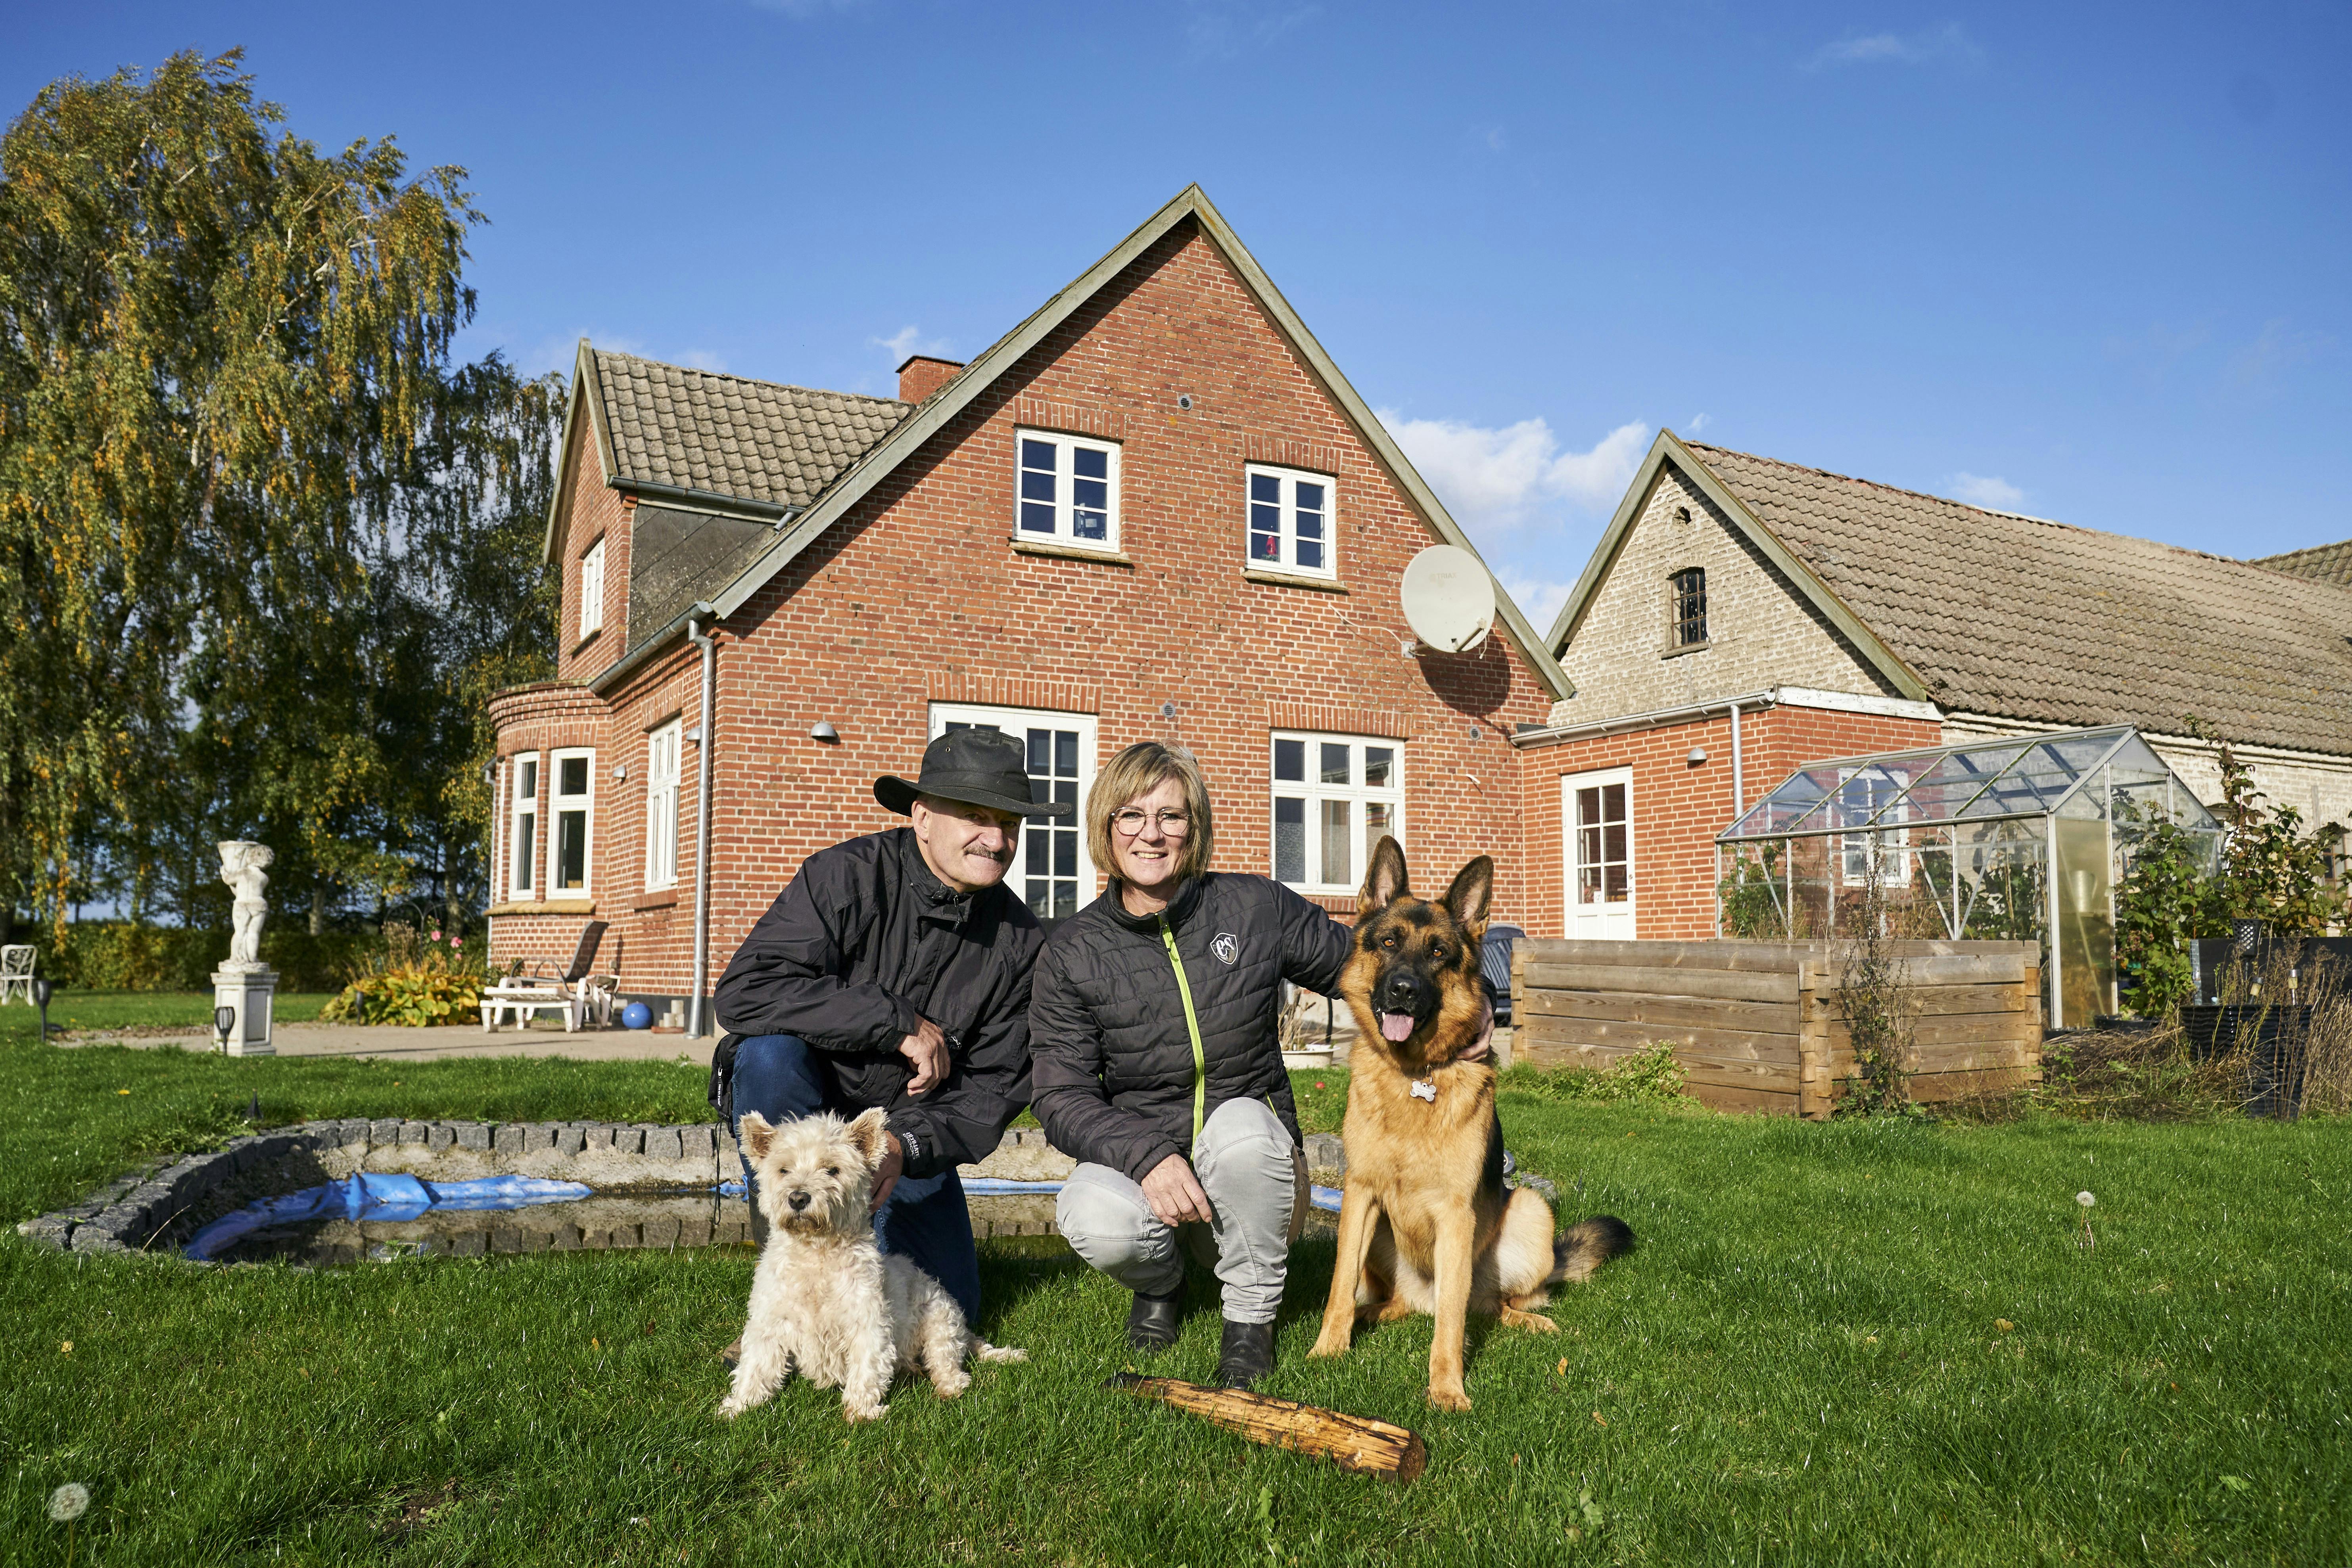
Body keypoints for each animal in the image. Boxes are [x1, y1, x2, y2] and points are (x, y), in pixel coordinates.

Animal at [710, 1105, 1016, 1420]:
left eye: (832, 1169)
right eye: (784, 1170)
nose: (798, 1198)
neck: (816, 1253)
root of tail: (965, 1331)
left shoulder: (867, 1322)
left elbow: (867, 1367)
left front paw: (862, 1412)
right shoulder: (770, 1321)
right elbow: (756, 1366)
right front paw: (739, 1406)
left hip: (939, 1320)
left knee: (948, 1362)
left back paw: (947, 1387)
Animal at [1317, 842, 1627, 1420]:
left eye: (1439, 953)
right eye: (1388, 942)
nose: (1402, 989)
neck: (1415, 1076)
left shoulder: (1455, 1214)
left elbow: (1451, 1323)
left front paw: (1446, 1389)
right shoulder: (1359, 1195)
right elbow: (1339, 1286)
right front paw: (1327, 1347)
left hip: (1529, 1208)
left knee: (1488, 1305)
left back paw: (1529, 1320)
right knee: (1404, 1302)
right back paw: (1373, 1316)